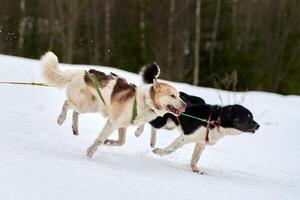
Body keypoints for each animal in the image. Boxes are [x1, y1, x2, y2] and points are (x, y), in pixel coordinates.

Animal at [39, 52, 185, 159]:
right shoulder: (112, 123)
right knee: (67, 103)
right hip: (84, 104)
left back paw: (75, 129)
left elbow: (121, 142)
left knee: (75, 112)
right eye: (172, 95)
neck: (146, 101)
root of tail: (83, 73)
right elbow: (99, 140)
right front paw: (90, 152)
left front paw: (108, 142)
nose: (185, 105)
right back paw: (61, 119)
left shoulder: (122, 126)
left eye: (179, 95)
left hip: (91, 106)